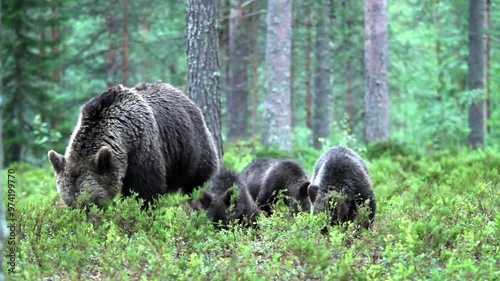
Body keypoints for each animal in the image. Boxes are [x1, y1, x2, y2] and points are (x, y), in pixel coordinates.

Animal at [48, 81, 219, 208]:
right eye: (71, 203)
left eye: (91, 202)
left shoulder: (143, 148)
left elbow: (145, 191)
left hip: (191, 146)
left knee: (195, 180)